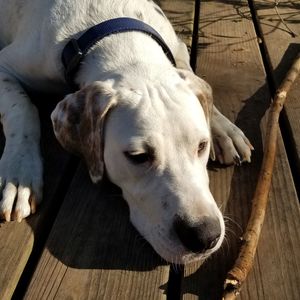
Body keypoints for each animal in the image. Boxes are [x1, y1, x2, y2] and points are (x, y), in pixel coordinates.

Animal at [0, 0, 253, 264]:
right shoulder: (5, 66)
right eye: (138, 157)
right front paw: (20, 172)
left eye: (202, 146)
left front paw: (223, 129)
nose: (205, 236)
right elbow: (22, 109)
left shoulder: (179, 49)